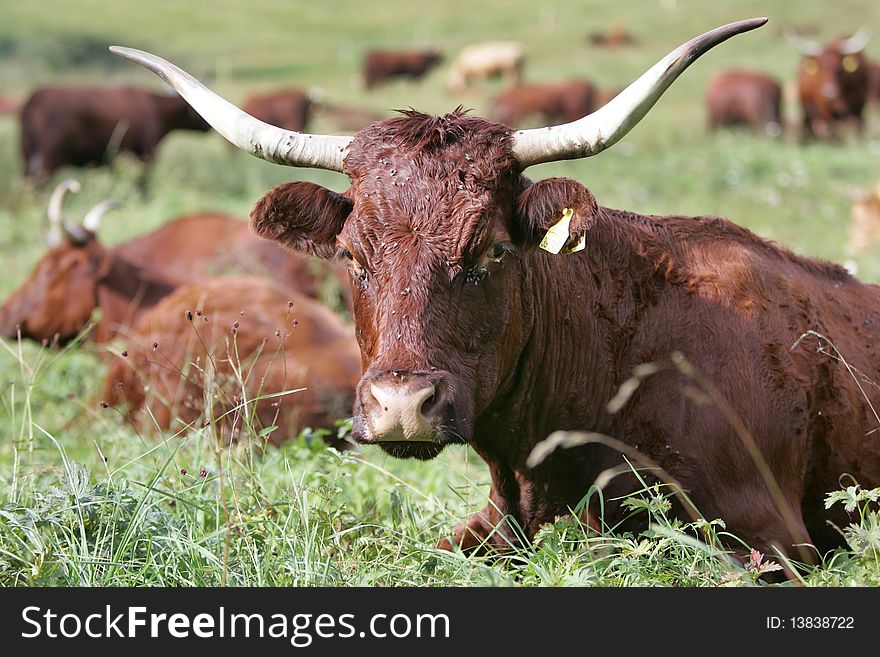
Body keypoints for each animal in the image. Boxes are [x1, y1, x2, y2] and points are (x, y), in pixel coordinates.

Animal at [18, 84, 211, 183]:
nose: (209, 128)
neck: (155, 109)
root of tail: (37, 95)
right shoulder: (148, 153)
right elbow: (143, 184)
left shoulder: (116, 159)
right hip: (49, 159)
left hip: (27, 154)